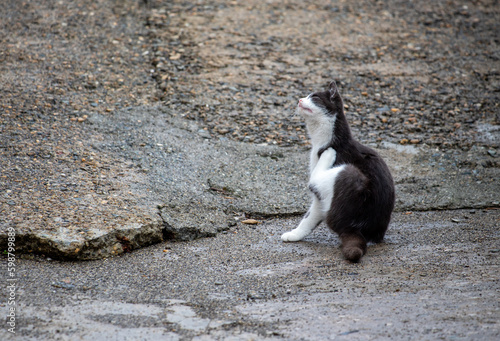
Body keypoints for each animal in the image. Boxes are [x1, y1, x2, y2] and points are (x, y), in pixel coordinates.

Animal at [282, 81, 394, 262]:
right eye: (306, 96)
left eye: (314, 97)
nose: (299, 100)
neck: (321, 142)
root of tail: (355, 228)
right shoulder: (320, 200)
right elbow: (309, 218)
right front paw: (294, 234)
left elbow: (309, 212)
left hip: (349, 174)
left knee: (314, 180)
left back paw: (329, 154)